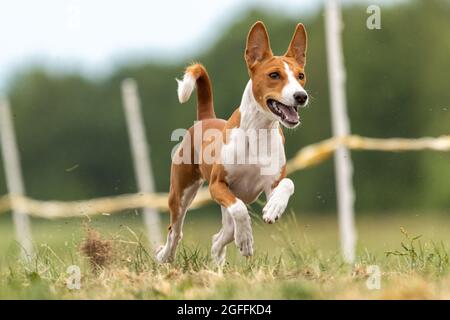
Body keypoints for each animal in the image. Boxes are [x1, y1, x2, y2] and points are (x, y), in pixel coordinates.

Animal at [156, 20, 308, 264]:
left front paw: (273, 209)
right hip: (180, 194)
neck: (257, 133)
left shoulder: (271, 184)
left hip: (221, 213)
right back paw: (165, 255)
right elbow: (240, 210)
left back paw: (217, 264)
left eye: (300, 75)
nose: (301, 96)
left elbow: (288, 183)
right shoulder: (218, 185)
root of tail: (206, 118)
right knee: (175, 232)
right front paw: (246, 239)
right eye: (274, 75)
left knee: (219, 238)